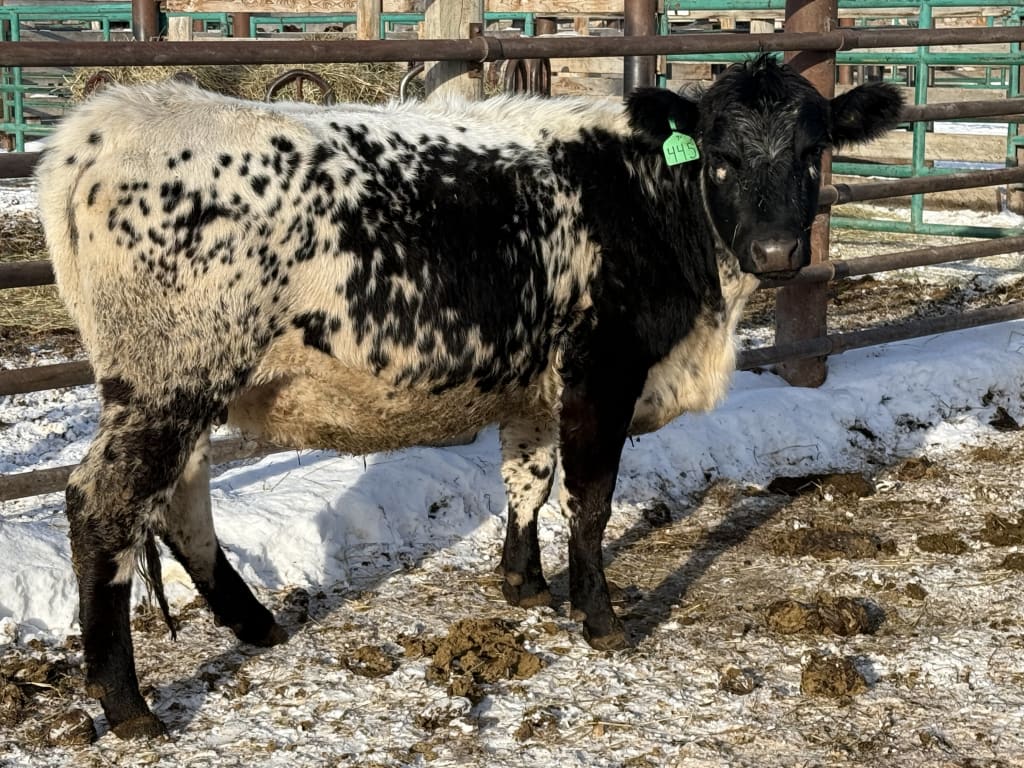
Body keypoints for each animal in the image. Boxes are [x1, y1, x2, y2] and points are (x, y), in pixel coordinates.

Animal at [35, 54, 902, 738]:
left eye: (814, 151)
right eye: (719, 158)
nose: (778, 250)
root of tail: (104, 122)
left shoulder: (534, 383)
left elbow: (528, 479)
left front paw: (524, 584)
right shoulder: (603, 367)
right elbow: (590, 497)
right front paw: (599, 619)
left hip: (183, 390)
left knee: (180, 503)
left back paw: (255, 625)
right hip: (169, 381)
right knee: (105, 505)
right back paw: (128, 706)